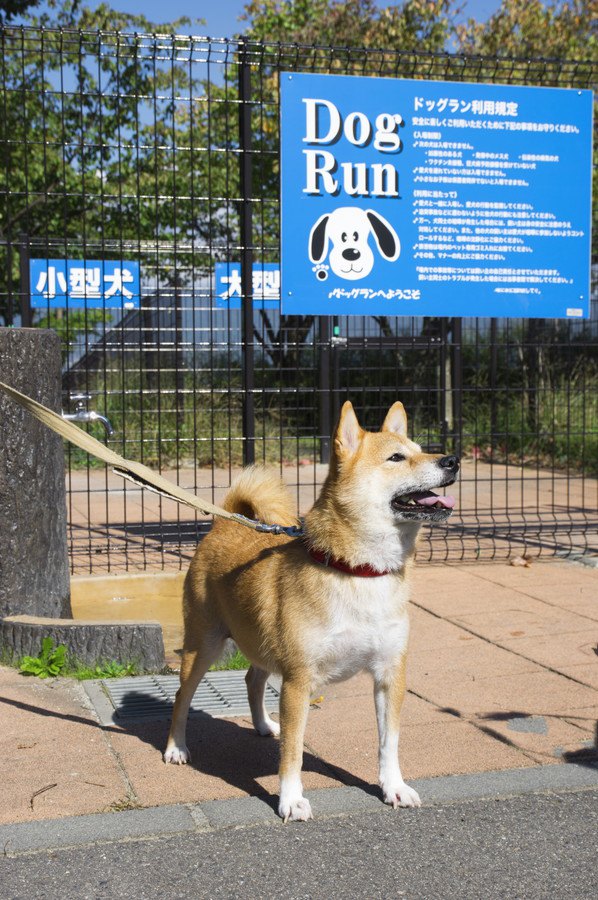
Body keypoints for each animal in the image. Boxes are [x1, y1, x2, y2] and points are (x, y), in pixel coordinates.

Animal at [164, 400, 460, 824]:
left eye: (421, 449)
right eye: (397, 457)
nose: (453, 460)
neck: (359, 572)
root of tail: (223, 525)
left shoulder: (390, 674)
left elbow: (389, 743)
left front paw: (394, 787)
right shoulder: (298, 681)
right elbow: (293, 752)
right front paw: (290, 799)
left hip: (261, 646)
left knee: (253, 680)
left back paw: (263, 725)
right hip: (203, 647)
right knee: (182, 697)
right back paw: (176, 747)